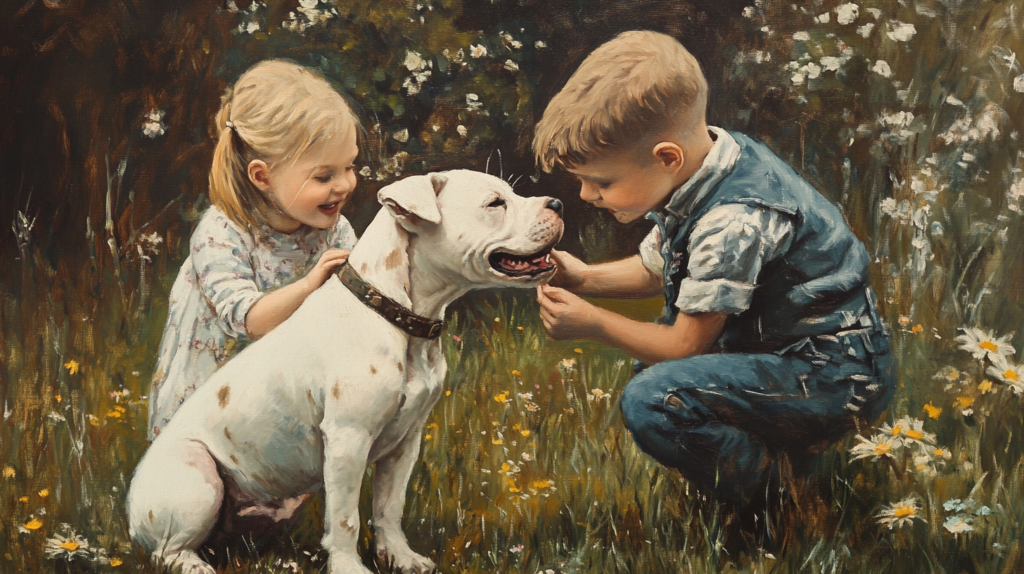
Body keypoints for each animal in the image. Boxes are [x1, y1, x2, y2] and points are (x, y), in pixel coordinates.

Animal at [125, 167, 569, 568]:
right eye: (495, 203)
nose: (558, 203)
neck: (394, 312)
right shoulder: (347, 440)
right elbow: (344, 519)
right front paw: (349, 567)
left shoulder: (406, 442)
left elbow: (389, 507)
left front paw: (401, 557)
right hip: (197, 479)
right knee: (169, 550)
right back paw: (193, 564)